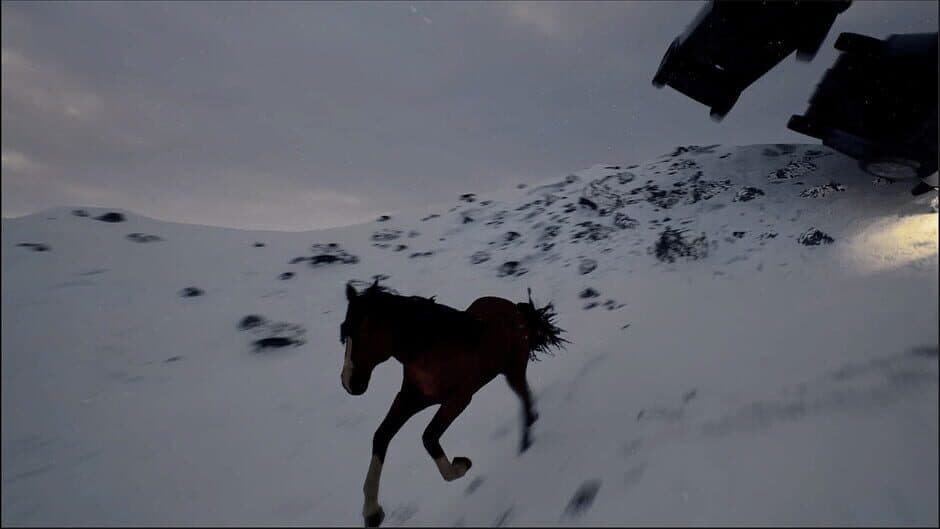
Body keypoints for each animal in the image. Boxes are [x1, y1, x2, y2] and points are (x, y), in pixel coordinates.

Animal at [340, 280, 567, 527]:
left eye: (363, 331)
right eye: (343, 332)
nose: (349, 383)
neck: (431, 351)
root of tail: (515, 308)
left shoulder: (458, 399)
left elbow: (429, 437)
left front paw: (461, 465)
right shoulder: (410, 398)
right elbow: (382, 435)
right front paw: (372, 512)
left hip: (513, 371)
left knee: (525, 398)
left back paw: (526, 441)